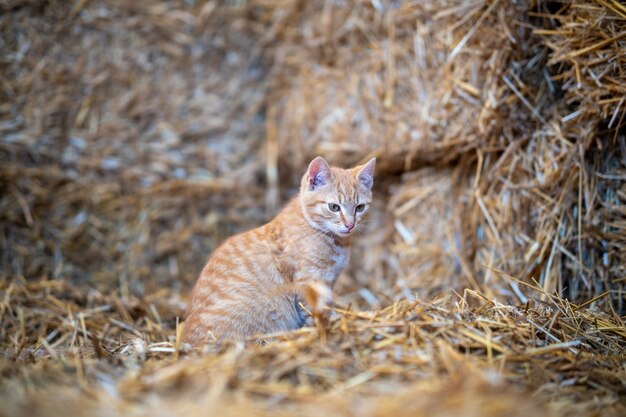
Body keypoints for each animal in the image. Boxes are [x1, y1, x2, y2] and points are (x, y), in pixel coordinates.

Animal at [180, 156, 376, 344]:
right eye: (334, 207)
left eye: (360, 207)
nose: (350, 225)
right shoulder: (308, 280)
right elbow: (313, 310)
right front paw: (322, 327)